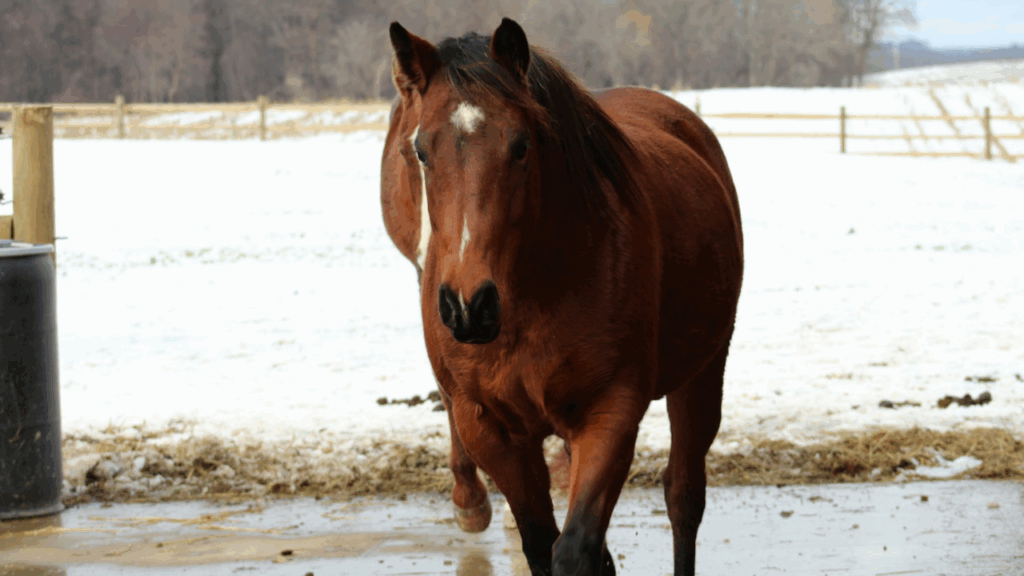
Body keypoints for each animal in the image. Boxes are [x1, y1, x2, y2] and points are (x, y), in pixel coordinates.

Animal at [384, 18, 743, 576]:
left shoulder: (610, 413)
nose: (468, 306)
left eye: (521, 145)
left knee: (683, 498)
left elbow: (573, 550)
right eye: (421, 150)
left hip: (702, 375)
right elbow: (540, 544)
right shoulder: (489, 428)